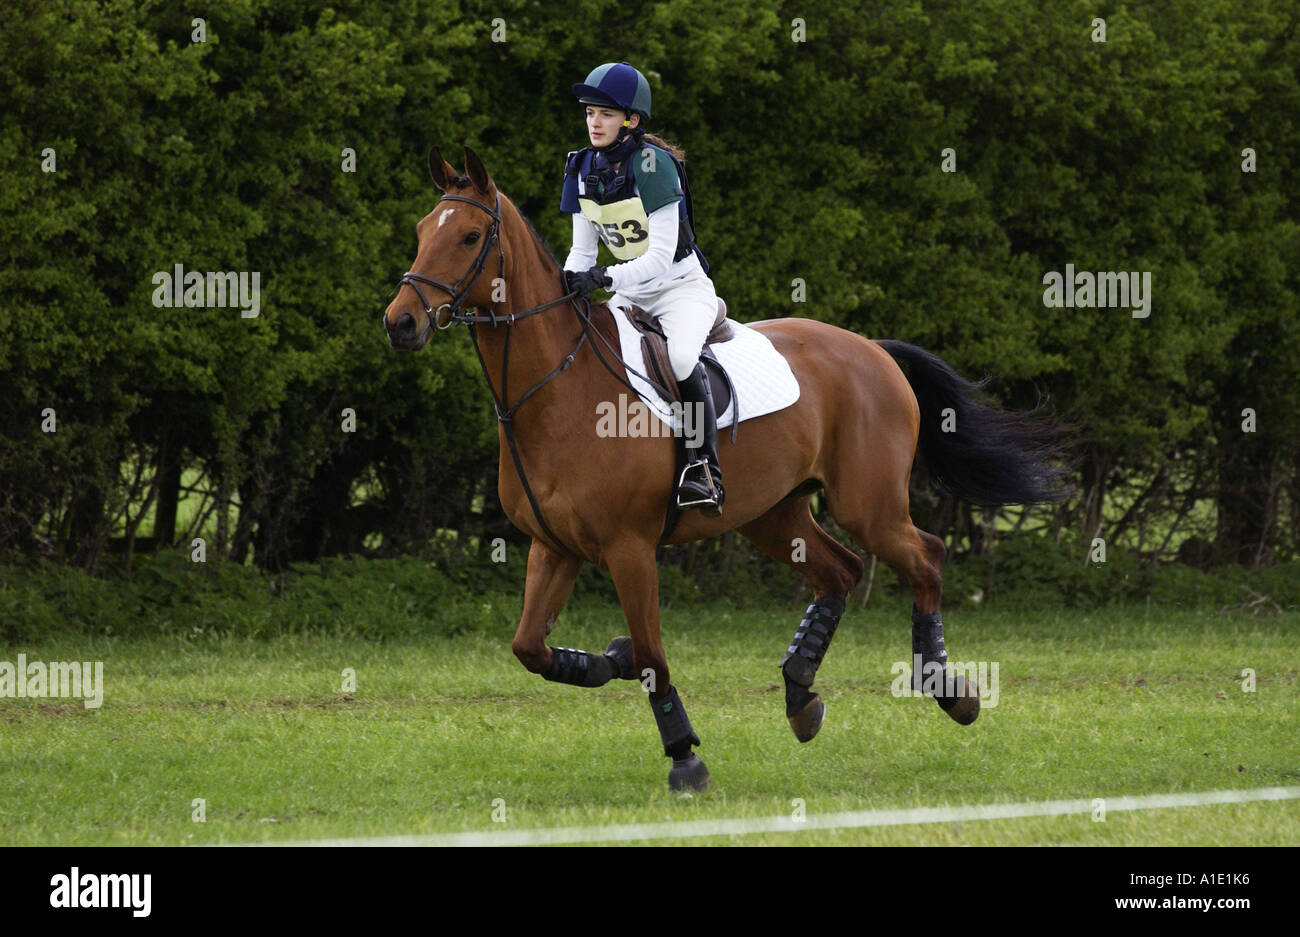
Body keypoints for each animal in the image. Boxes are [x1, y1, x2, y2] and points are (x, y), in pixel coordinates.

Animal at [383, 145, 1069, 792]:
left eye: (470, 236)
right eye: (421, 229)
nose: (401, 322)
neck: (555, 389)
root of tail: (872, 347)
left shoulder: (629, 549)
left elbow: (653, 655)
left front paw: (684, 757)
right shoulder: (555, 547)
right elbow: (531, 647)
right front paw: (611, 659)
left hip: (866, 505)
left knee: (925, 555)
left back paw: (947, 690)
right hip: (770, 513)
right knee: (839, 572)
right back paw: (800, 693)